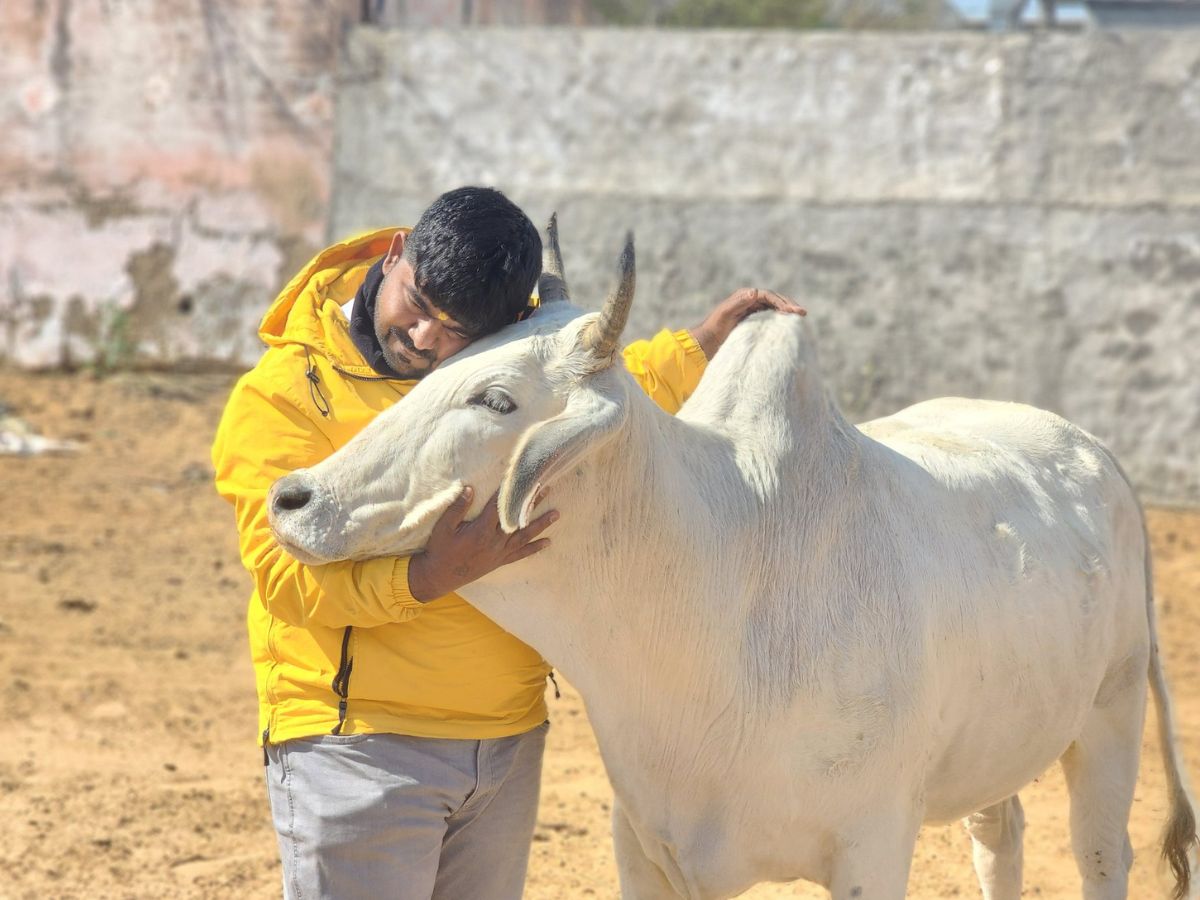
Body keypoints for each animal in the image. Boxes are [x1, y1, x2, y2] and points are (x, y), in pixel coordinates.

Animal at [267, 220, 1195, 900]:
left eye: (496, 399)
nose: (293, 498)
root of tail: (1092, 449)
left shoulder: (872, 849)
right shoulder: (646, 846)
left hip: (1113, 713)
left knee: (1102, 853)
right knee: (1000, 836)